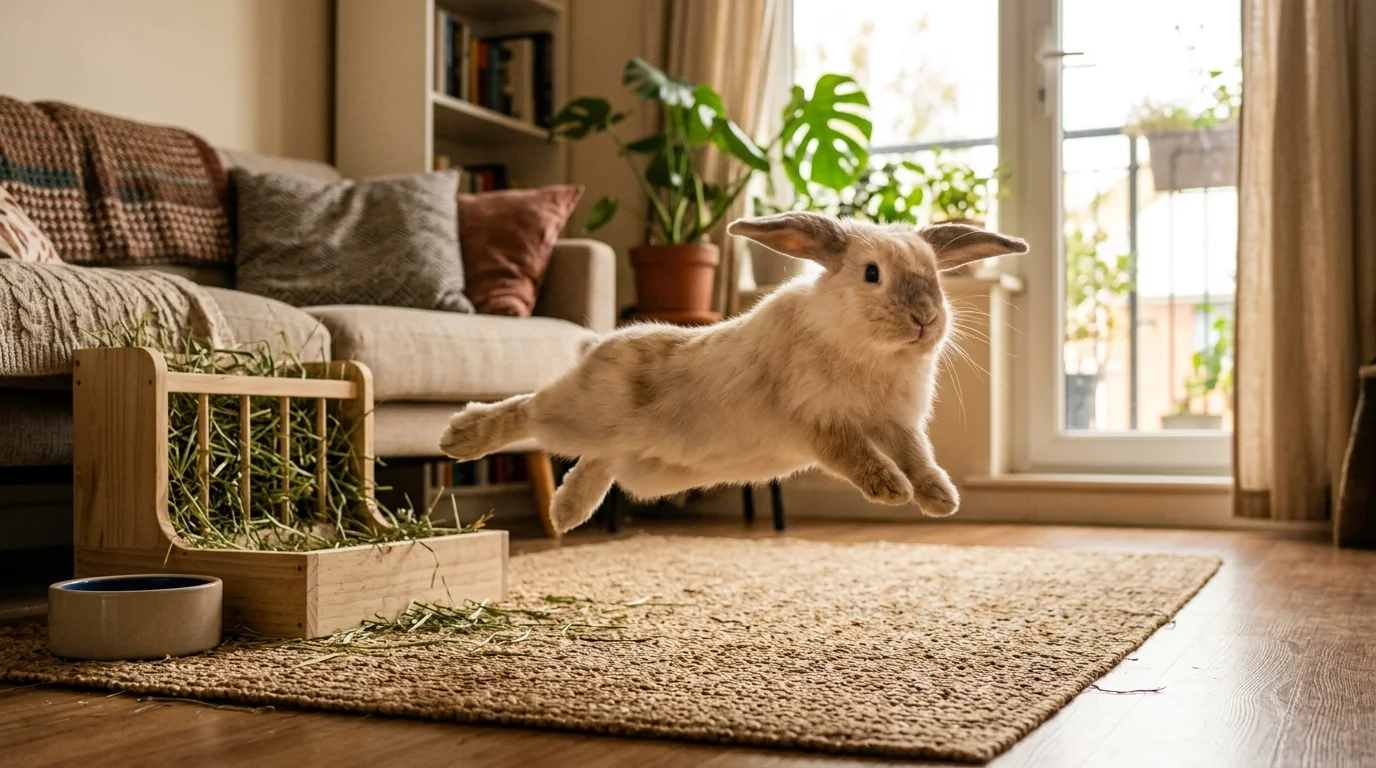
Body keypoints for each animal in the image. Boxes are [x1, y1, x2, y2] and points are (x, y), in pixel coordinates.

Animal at [438, 212, 1029, 534]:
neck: (864, 347)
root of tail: (597, 346)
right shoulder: (819, 422)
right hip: (579, 413)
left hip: (636, 462)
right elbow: (855, 455)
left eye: (935, 277)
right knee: (527, 411)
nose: (926, 319)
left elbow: (919, 457)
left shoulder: (900, 425)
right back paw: (460, 437)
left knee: (593, 463)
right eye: (871, 274)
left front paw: (939, 499)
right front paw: (890, 491)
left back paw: (566, 512)